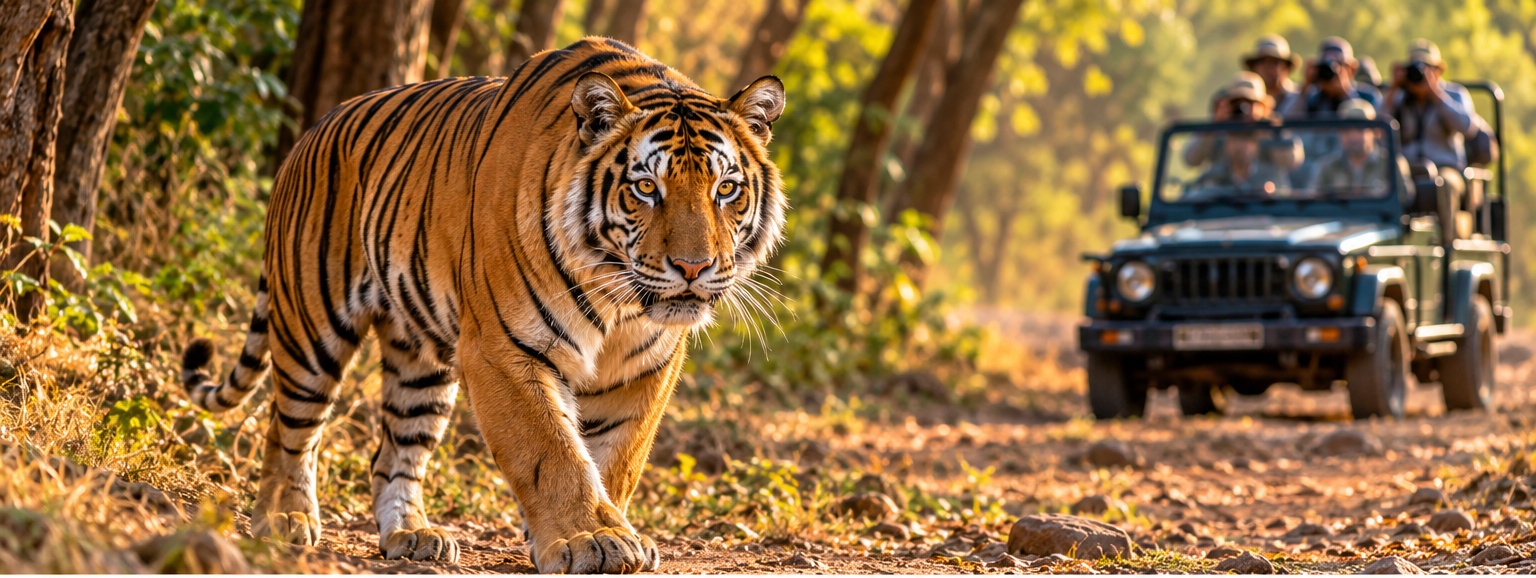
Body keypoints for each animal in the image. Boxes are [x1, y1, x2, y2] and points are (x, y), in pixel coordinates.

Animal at [178, 37, 788, 573]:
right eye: (645, 189)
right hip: (311, 325)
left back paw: (411, 535)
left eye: (726, 189)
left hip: (420, 360)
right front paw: (591, 539)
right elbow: (552, 452)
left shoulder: (645, 368)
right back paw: (283, 519)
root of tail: (310, 130)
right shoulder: (503, 349)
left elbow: (615, 460)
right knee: (288, 429)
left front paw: (600, 529)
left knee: (393, 452)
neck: (617, 301)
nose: (693, 268)